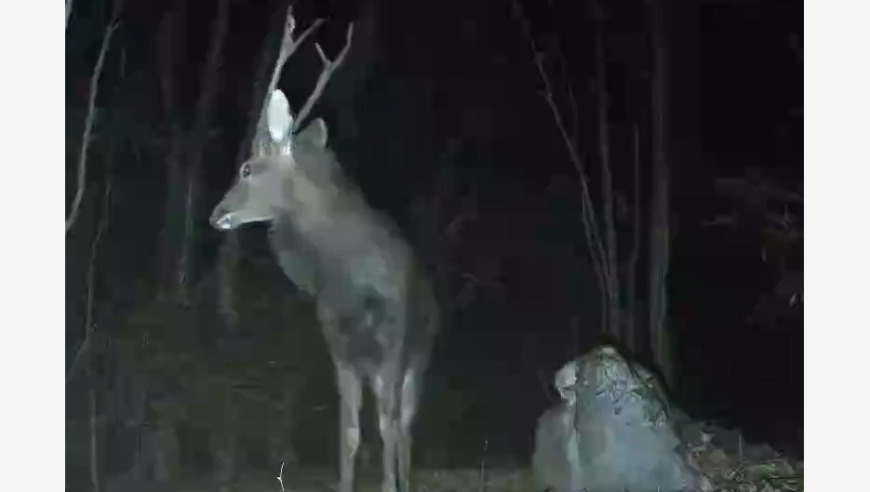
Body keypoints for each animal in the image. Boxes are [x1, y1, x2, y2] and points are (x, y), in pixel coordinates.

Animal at [210, 6, 440, 492]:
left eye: (247, 167)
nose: (216, 214)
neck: (344, 274)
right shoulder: (338, 345)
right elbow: (349, 430)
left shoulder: (393, 341)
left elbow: (389, 426)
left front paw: (390, 485)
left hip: (419, 353)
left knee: (406, 425)